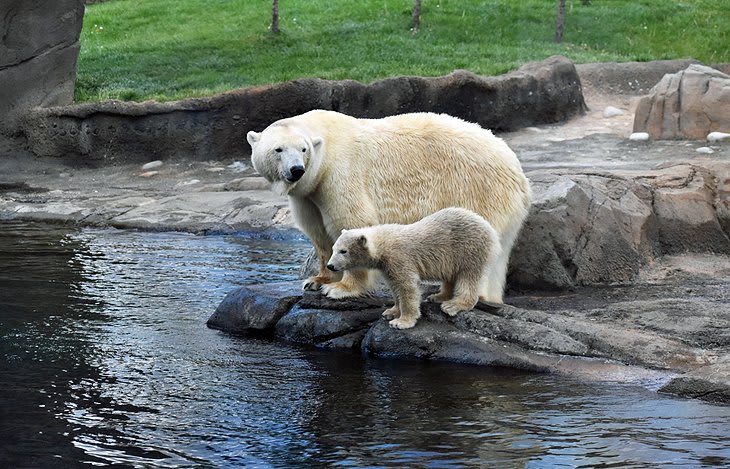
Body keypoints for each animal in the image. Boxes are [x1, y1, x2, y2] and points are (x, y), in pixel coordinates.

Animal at [246, 109, 530, 304]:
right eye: (278, 149)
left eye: (303, 148)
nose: (296, 170)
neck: (327, 143)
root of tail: (517, 169)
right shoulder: (309, 195)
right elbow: (319, 234)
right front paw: (317, 280)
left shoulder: (339, 174)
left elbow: (352, 221)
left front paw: (341, 289)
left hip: (477, 189)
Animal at [326, 207, 501, 329]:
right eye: (333, 248)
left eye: (343, 251)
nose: (330, 265)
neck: (383, 244)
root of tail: (489, 228)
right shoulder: (387, 266)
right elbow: (394, 287)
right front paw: (391, 311)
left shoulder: (399, 258)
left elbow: (407, 288)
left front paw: (402, 322)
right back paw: (438, 296)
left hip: (470, 248)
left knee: (469, 277)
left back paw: (453, 304)